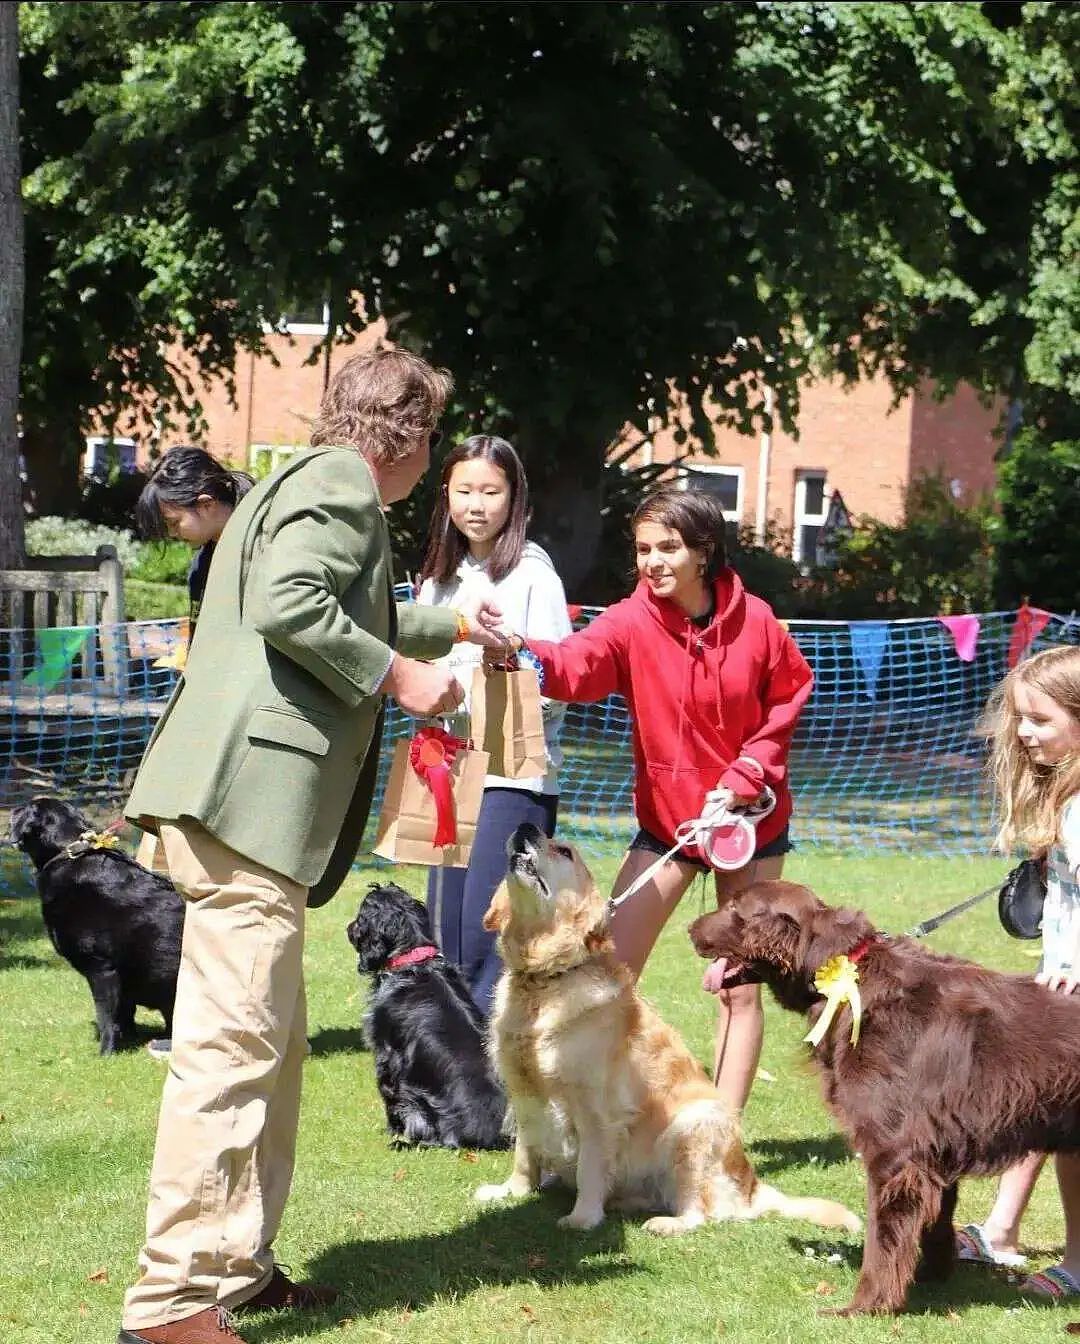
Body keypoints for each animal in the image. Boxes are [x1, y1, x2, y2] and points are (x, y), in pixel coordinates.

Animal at [12, 795, 184, 1048]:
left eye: (23, 809)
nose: (12, 811)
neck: (67, 853)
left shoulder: (102, 969)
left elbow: (107, 1019)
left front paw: (106, 1051)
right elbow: (124, 1016)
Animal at [349, 881, 513, 1155]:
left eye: (361, 915)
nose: (349, 927)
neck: (414, 962)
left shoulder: (387, 1056)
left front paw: (392, 1130)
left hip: (416, 1098)